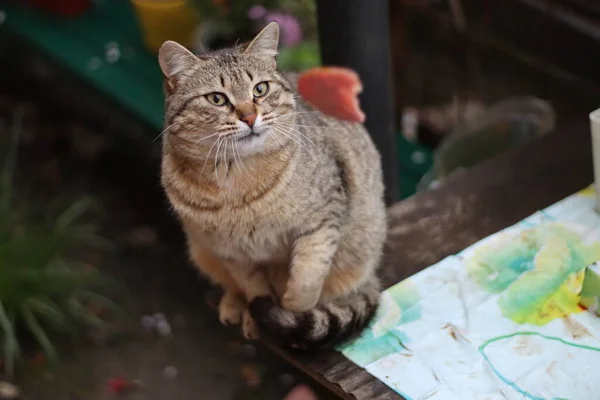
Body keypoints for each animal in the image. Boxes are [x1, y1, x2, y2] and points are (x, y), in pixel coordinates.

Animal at [157, 22, 386, 350]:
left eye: (260, 89)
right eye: (217, 99)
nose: (250, 116)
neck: (238, 178)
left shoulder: (323, 218)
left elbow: (306, 280)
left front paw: (291, 314)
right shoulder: (232, 252)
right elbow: (255, 288)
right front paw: (256, 316)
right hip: (201, 250)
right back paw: (234, 304)